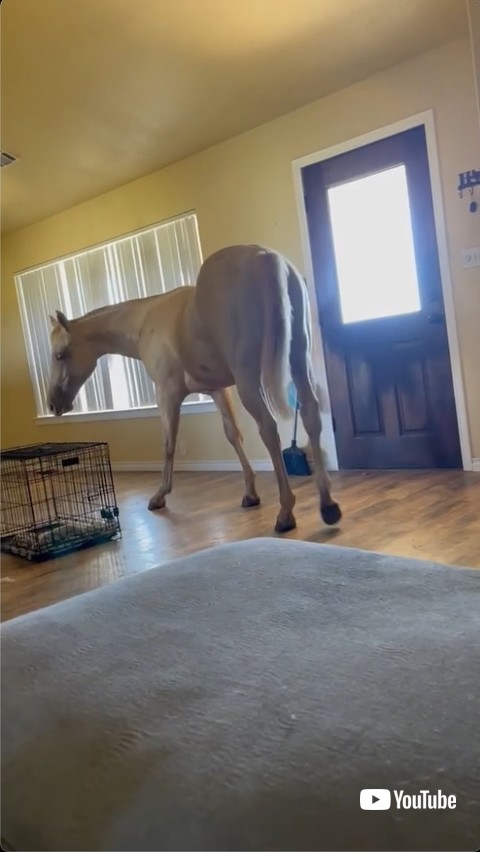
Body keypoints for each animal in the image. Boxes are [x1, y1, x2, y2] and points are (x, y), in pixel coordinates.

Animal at [47, 244, 341, 533]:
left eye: (60, 355)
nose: (53, 404)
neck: (144, 321)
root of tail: (263, 256)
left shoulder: (167, 393)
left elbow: (168, 443)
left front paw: (160, 495)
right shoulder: (217, 391)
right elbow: (233, 435)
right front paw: (250, 493)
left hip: (249, 381)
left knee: (269, 429)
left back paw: (286, 512)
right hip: (298, 363)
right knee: (311, 416)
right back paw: (328, 505)